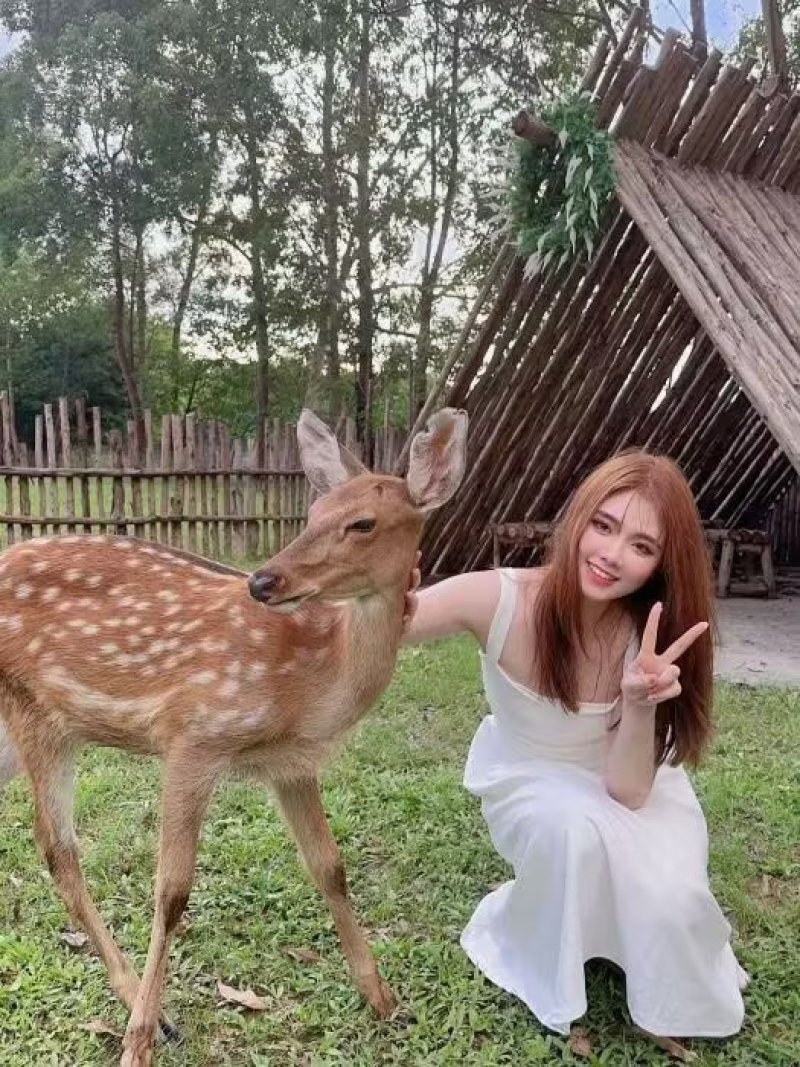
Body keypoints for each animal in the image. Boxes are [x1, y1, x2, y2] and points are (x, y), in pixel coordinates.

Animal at [0, 407, 467, 1067]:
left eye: (362, 522)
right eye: (313, 512)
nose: (265, 581)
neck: (312, 686)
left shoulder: (292, 764)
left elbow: (330, 867)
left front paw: (384, 1000)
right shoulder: (193, 734)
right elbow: (171, 892)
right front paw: (138, 1043)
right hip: (38, 714)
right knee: (58, 850)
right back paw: (152, 1015)